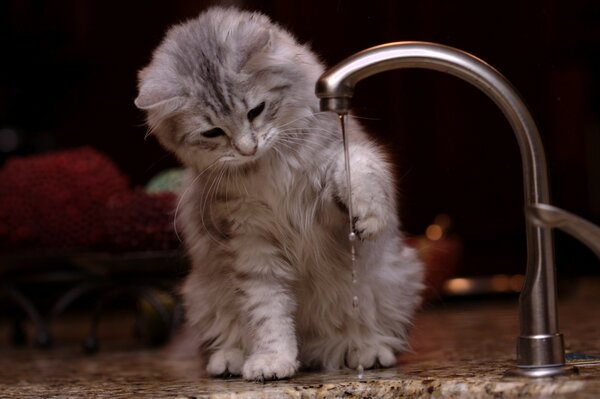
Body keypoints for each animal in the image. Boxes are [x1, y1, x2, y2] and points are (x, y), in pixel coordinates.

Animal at [134, 6, 424, 382]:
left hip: (391, 280)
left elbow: (359, 167)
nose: (248, 148)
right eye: (213, 132)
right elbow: (269, 315)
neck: (266, 168)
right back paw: (231, 361)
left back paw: (365, 351)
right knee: (229, 337)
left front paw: (368, 218)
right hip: (202, 297)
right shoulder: (250, 242)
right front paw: (273, 362)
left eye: (255, 111)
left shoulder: (327, 191)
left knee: (368, 334)